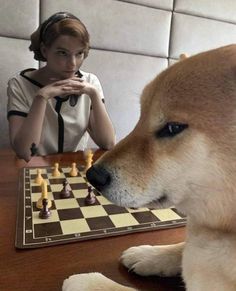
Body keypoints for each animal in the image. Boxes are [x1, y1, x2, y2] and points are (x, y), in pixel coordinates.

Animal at [63, 44, 236, 290]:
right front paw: (149, 254)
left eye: (173, 127)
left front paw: (88, 281)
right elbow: (182, 248)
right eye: (141, 116)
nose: (93, 176)